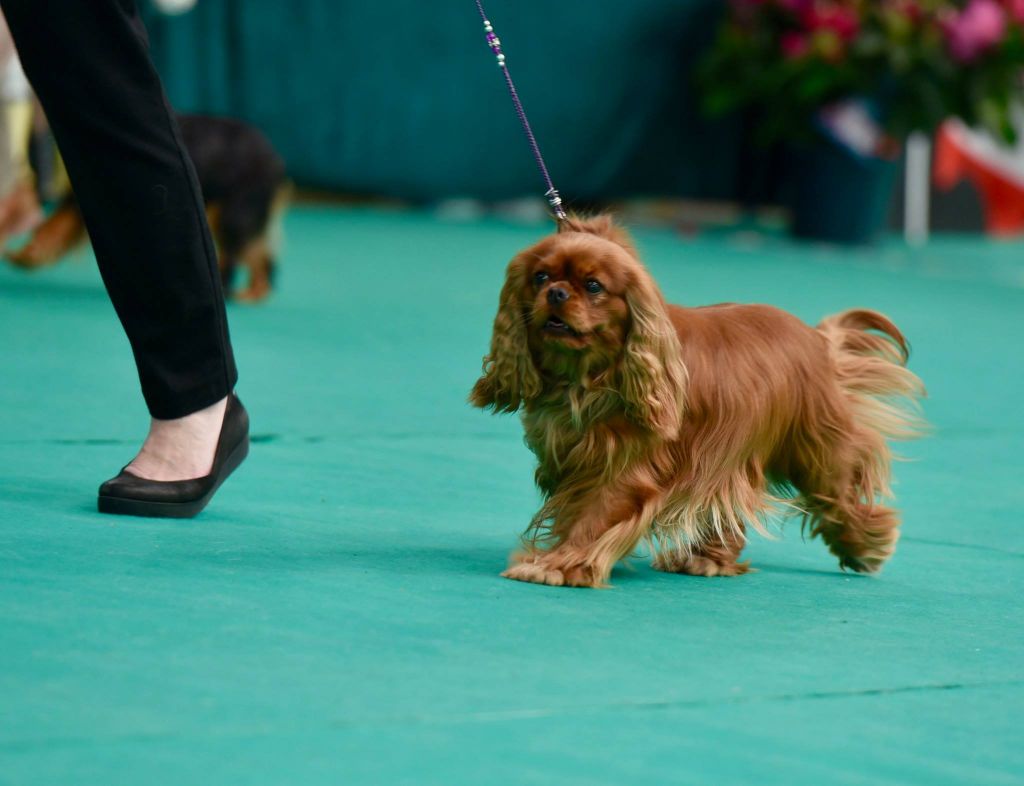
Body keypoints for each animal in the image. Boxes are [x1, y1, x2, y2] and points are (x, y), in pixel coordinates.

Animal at [8, 115, 288, 302]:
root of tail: (274, 157)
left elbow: (54, 228)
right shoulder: (78, 201)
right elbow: (51, 227)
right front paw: (27, 255)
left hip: (235, 210)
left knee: (238, 254)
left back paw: (242, 292)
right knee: (259, 253)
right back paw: (252, 290)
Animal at [471, 212, 929, 581]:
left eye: (594, 285)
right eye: (540, 278)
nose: (557, 293)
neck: (587, 378)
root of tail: (816, 338)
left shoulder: (625, 466)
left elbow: (593, 515)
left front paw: (557, 567)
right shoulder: (570, 458)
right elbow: (575, 510)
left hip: (816, 451)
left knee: (840, 498)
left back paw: (866, 547)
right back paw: (708, 559)